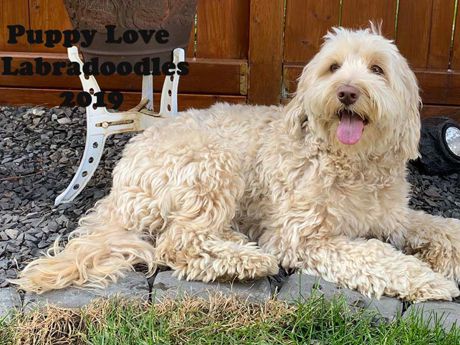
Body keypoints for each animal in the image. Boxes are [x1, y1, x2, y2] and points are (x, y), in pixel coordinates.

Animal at [12, 24, 460, 300]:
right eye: (333, 67)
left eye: (377, 69)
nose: (347, 91)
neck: (349, 161)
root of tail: (124, 170)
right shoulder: (303, 238)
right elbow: (375, 256)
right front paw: (428, 279)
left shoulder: (392, 218)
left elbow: (441, 227)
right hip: (213, 162)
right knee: (178, 244)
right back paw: (246, 261)